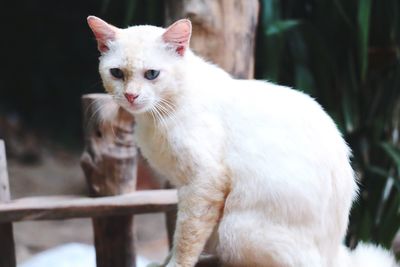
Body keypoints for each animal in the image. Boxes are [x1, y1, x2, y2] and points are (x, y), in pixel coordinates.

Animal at [86, 16, 396, 267]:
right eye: (117, 73)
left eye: (152, 74)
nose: (131, 96)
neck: (159, 114)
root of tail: (336, 255)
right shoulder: (186, 187)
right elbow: (183, 236)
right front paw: (164, 261)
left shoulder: (204, 182)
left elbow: (186, 237)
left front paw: (174, 264)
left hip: (234, 229)